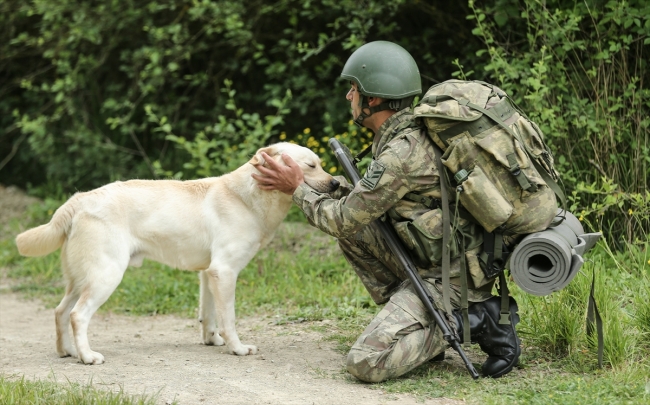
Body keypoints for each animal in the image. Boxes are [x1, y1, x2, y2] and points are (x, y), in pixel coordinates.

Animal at [15, 141, 340, 362]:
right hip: (106, 276)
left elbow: (209, 315)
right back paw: (87, 356)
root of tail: (80, 199)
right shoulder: (225, 271)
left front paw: (212, 340)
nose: (337, 183)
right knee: (77, 315)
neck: (248, 196)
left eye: (321, 163)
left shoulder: (209, 274)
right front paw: (237, 348)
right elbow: (229, 318)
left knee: (60, 311)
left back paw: (68, 351)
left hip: (81, 279)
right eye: (311, 166)